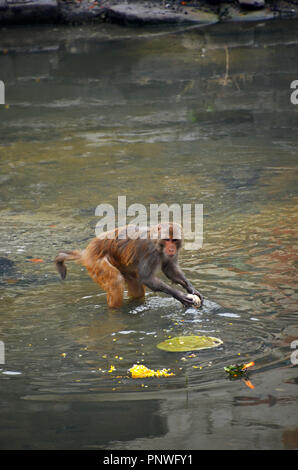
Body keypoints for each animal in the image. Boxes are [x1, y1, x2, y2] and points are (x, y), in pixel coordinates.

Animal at [54, 223, 203, 308]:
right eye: (167, 239)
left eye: (174, 240)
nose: (171, 249)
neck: (157, 243)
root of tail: (87, 252)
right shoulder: (149, 252)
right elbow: (147, 278)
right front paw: (179, 295)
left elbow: (169, 269)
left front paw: (191, 288)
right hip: (95, 262)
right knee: (116, 281)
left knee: (135, 286)